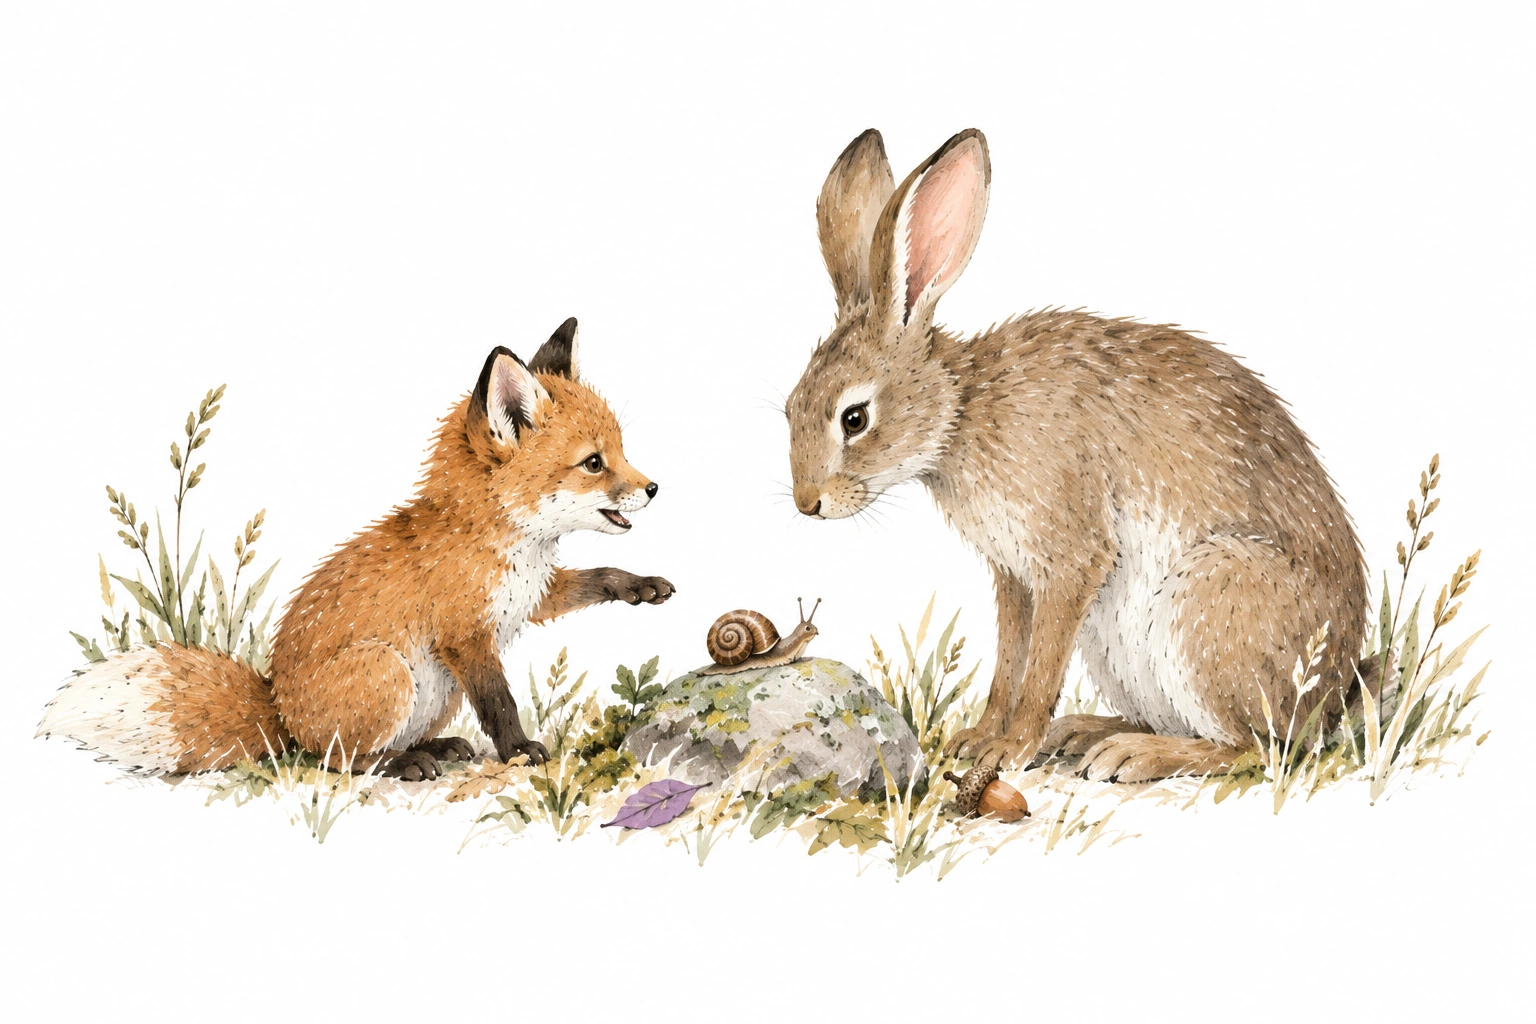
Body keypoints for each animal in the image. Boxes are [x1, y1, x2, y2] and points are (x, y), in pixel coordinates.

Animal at [39, 318, 674, 781]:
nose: (652, 488)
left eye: (621, 451)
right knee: (334, 759)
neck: (501, 542)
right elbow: (500, 703)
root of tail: (280, 712)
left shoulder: (531, 597)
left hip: (438, 692)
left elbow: (598, 575)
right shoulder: (465, 635)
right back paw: (402, 763)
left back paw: (437, 748)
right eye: (594, 463)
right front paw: (519, 750)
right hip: (389, 673)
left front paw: (642, 586)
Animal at [784, 128, 1369, 781]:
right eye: (789, 408)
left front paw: (1009, 749)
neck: (961, 410)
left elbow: (1040, 666)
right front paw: (978, 738)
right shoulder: (1013, 574)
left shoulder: (1071, 555)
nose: (807, 503)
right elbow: (1010, 657)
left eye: (854, 418)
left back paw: (1132, 754)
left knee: (1256, 747)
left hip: (1209, 604)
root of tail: (1331, 698)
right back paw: (1088, 732)